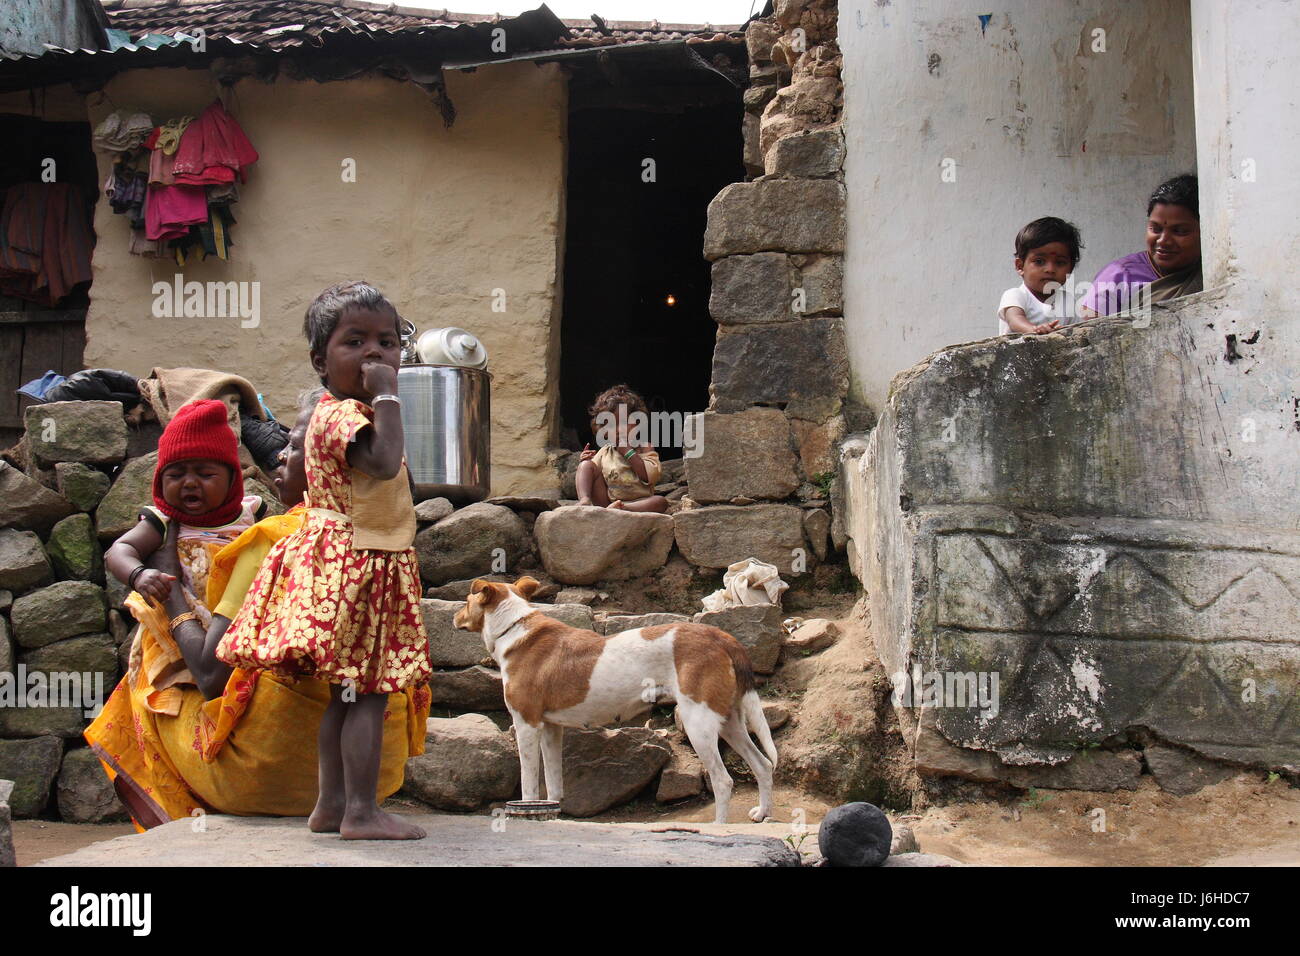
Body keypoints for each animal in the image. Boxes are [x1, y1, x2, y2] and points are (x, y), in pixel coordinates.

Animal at [452, 574, 774, 822]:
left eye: (466, 601)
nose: (453, 617)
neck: (515, 628)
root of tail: (723, 637)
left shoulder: (527, 725)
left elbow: (529, 787)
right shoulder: (552, 729)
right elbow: (554, 787)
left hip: (699, 725)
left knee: (723, 780)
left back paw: (718, 827)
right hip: (730, 722)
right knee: (763, 765)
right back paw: (763, 814)